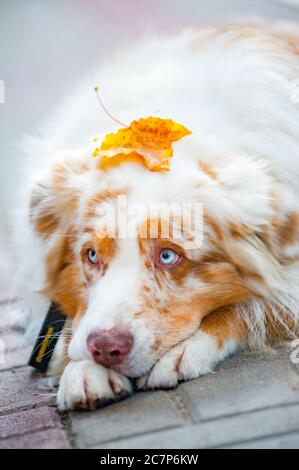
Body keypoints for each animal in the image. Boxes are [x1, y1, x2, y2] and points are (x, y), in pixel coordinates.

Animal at [13, 23, 299, 410]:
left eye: (167, 256)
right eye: (91, 255)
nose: (105, 348)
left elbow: (256, 306)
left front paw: (186, 350)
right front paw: (81, 369)